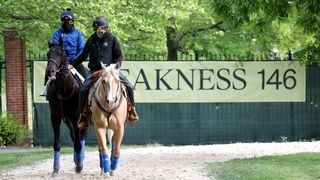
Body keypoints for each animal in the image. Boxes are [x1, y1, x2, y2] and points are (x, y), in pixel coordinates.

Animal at [45, 43, 87, 176]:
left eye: (60, 53)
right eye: (48, 54)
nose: (50, 71)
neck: (64, 90)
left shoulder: (76, 117)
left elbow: (79, 143)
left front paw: (79, 166)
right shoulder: (55, 116)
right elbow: (57, 144)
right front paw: (55, 169)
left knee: (81, 137)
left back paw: (80, 161)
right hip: (68, 120)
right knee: (74, 136)